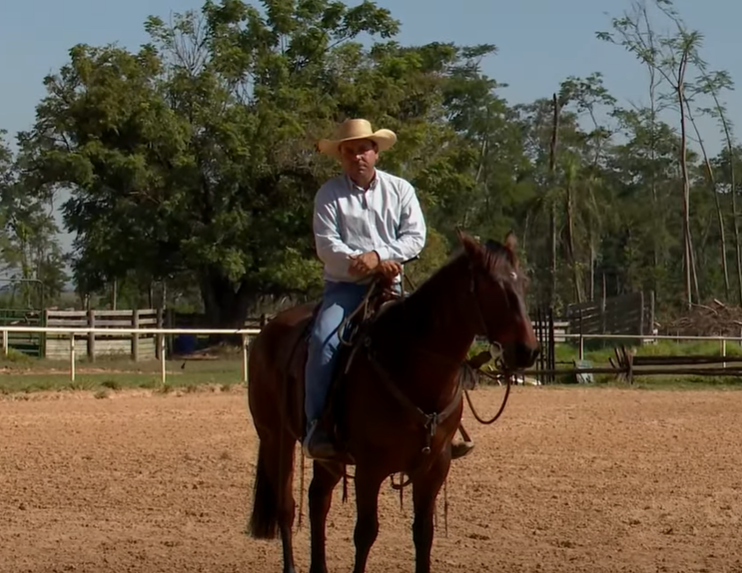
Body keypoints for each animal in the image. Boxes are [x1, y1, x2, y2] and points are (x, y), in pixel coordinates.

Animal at [247, 229, 544, 572]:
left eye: (524, 283)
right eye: (492, 284)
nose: (527, 350)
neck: (409, 363)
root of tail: (268, 329)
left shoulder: (434, 468)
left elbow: (424, 534)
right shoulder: (369, 468)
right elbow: (365, 533)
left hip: (327, 457)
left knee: (318, 499)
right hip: (275, 438)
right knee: (287, 506)